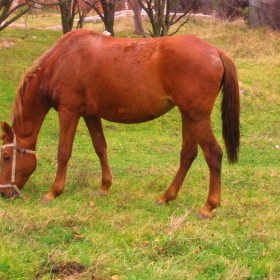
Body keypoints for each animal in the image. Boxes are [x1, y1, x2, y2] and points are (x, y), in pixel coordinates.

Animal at [0, 30, 241, 219]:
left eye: (6, 157)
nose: (4, 193)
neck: (60, 61)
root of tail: (216, 52)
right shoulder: (90, 114)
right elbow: (100, 147)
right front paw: (104, 187)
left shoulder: (69, 112)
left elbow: (64, 152)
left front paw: (53, 192)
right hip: (187, 116)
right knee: (188, 155)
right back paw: (166, 196)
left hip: (197, 117)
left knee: (213, 154)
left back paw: (208, 207)